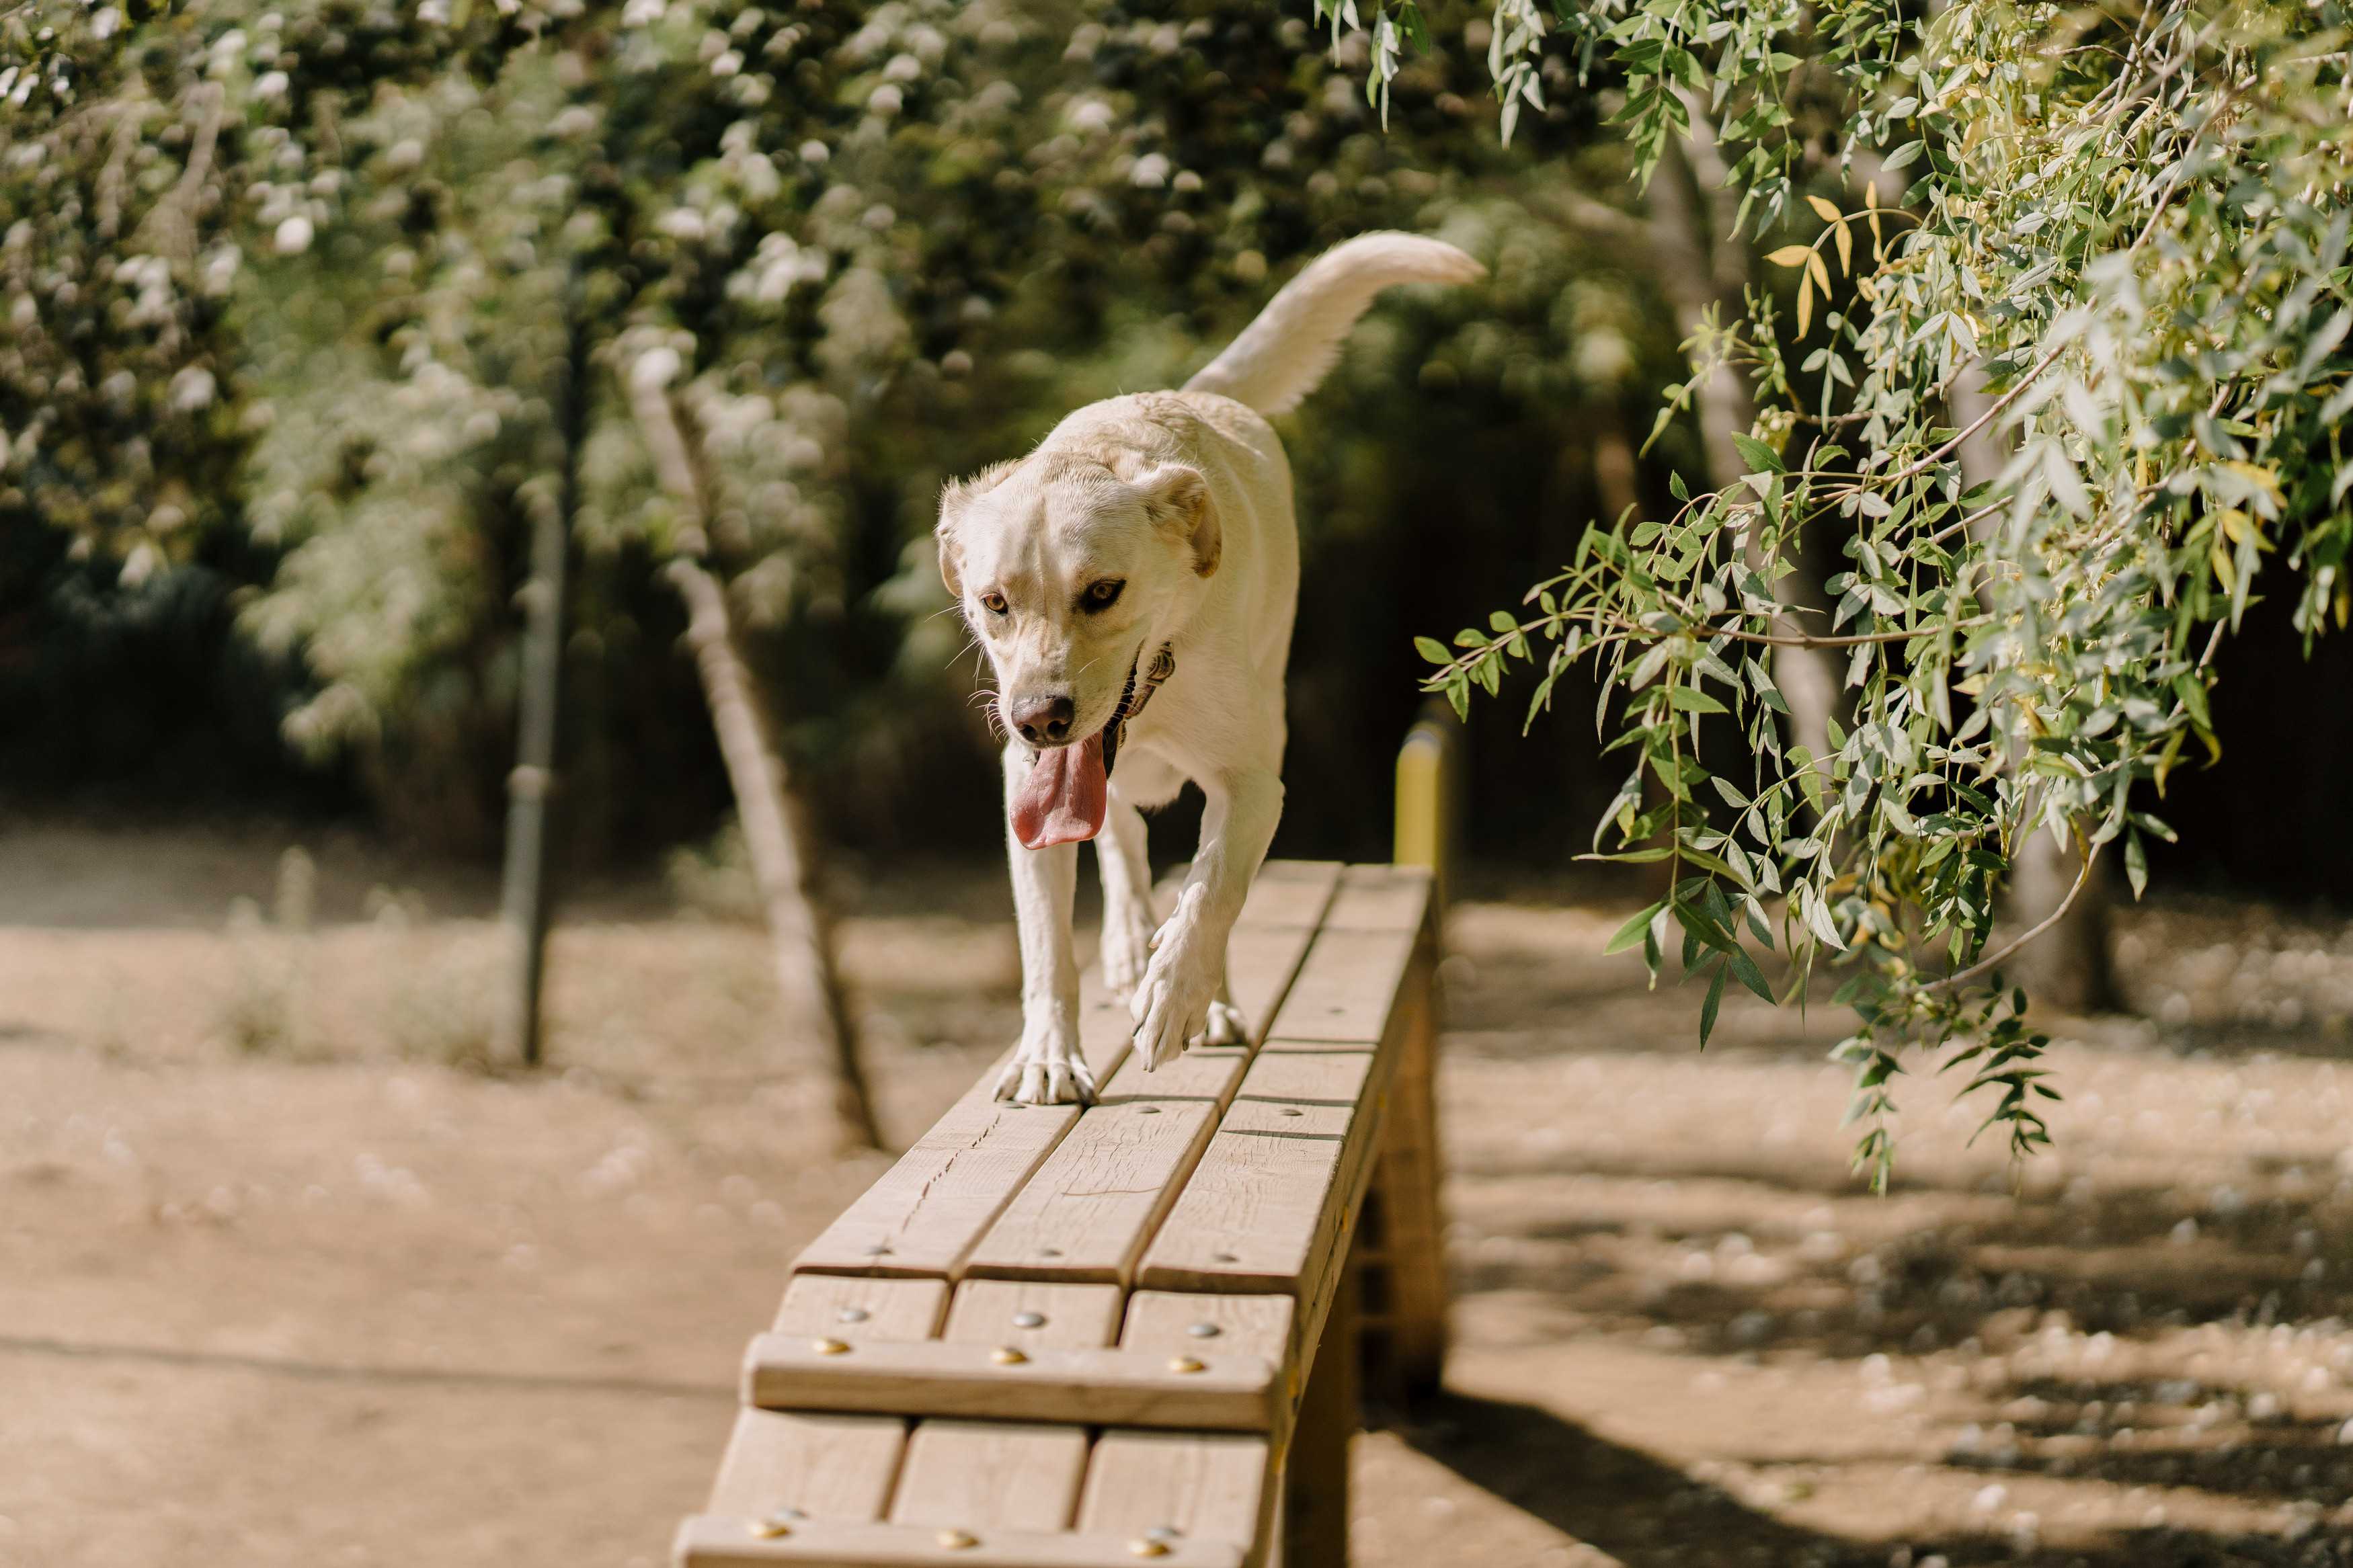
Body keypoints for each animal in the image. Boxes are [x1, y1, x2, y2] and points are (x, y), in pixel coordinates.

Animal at [941, 233, 1478, 1104]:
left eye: (1102, 591)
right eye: (994, 602)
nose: (1038, 718)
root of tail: (1185, 392)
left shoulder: (1254, 782)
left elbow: (1215, 884)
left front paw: (1177, 992)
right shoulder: (1026, 787)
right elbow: (1047, 946)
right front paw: (1049, 1055)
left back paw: (1202, 993)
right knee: (1119, 832)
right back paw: (1129, 940)